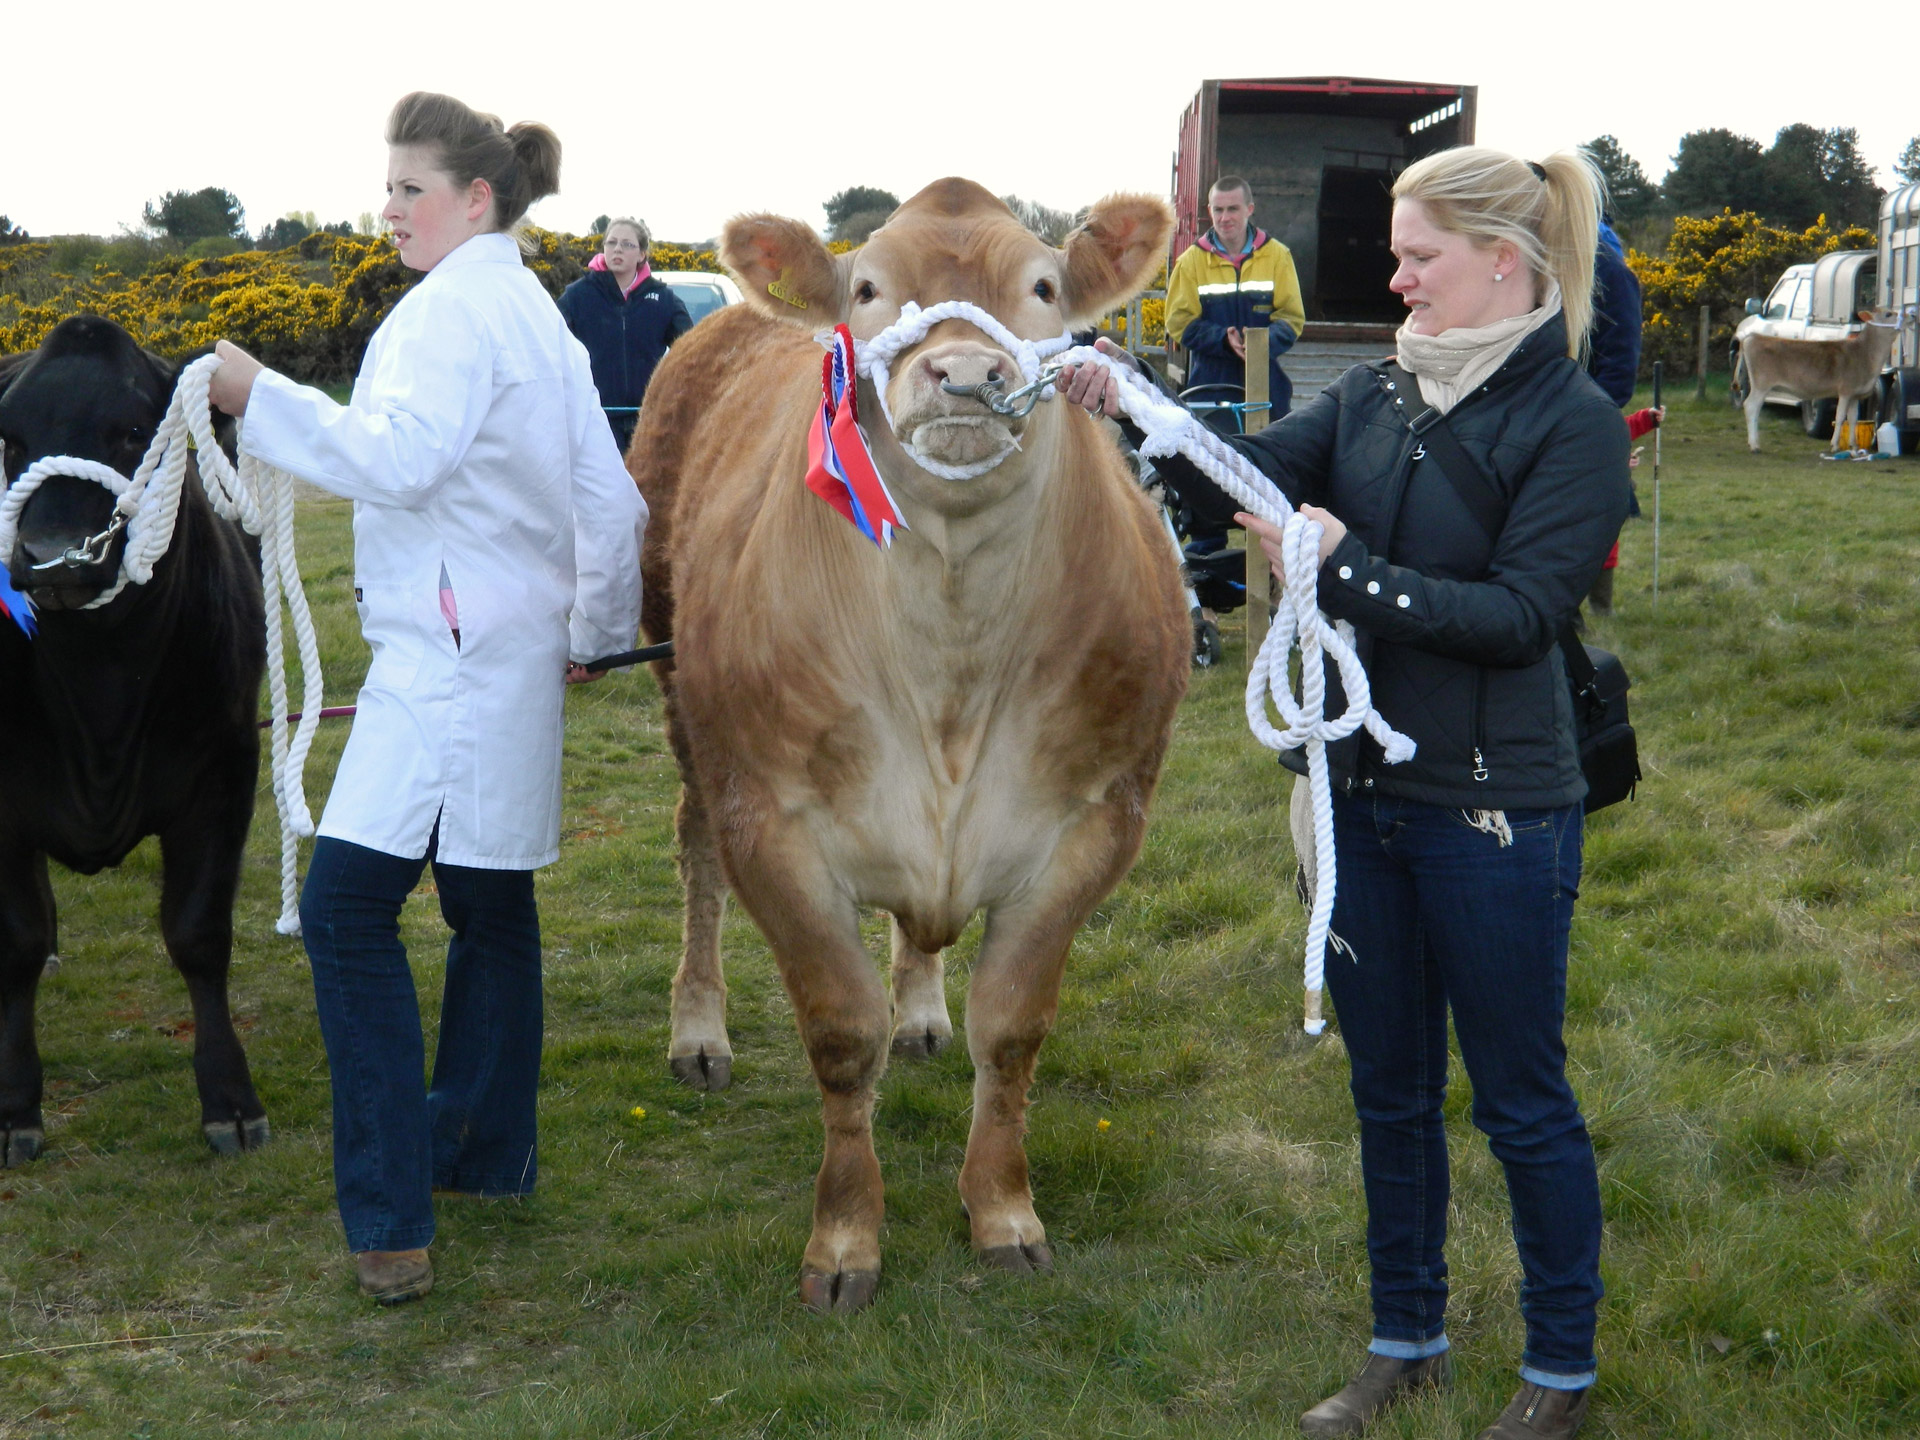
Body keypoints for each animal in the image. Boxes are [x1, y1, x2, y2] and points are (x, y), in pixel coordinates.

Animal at [0, 312, 272, 1159]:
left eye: (129, 431)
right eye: (9, 438)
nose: (49, 555)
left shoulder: (226, 766)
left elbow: (197, 931)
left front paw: (230, 1099)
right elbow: (17, 940)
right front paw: (16, 1107)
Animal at [629, 177, 1190, 1305]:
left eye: (1044, 288)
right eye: (869, 288)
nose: (966, 373)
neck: (950, 661)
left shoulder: (1096, 822)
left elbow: (1011, 1030)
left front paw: (1003, 1210)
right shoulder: (771, 823)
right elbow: (842, 1033)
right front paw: (846, 1237)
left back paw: (923, 1008)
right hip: (680, 696)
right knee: (693, 846)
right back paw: (698, 1030)